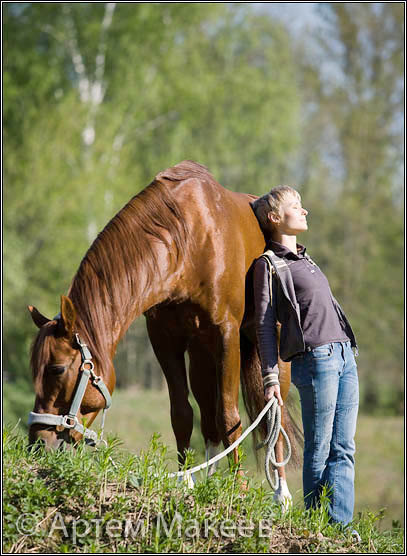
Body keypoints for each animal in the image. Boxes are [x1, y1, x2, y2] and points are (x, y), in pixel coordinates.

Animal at [27, 160, 300, 504]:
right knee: (207, 414)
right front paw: (186, 483)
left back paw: (281, 493)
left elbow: (229, 416)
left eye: (57, 369)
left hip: (269, 351)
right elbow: (182, 413)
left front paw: (238, 490)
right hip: (201, 352)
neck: (188, 239)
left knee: (272, 409)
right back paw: (211, 478)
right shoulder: (164, 338)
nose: (37, 445)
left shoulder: (227, 335)